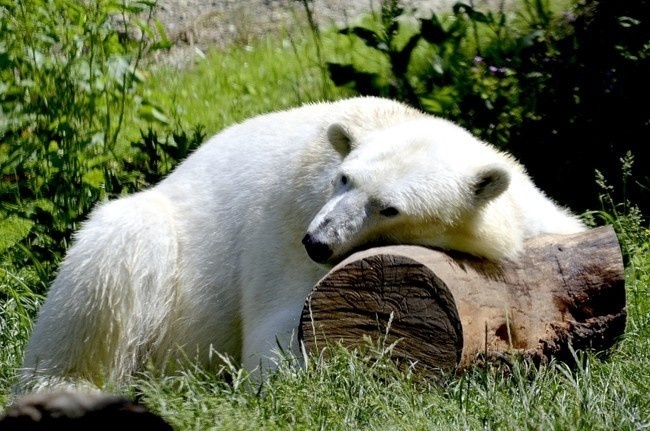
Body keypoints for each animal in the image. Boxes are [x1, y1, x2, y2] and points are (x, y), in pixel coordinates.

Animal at [17, 97, 584, 392]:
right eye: (344, 179)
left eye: (390, 208)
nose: (318, 242)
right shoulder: (287, 221)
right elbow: (278, 332)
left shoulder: (530, 212)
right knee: (120, 251)